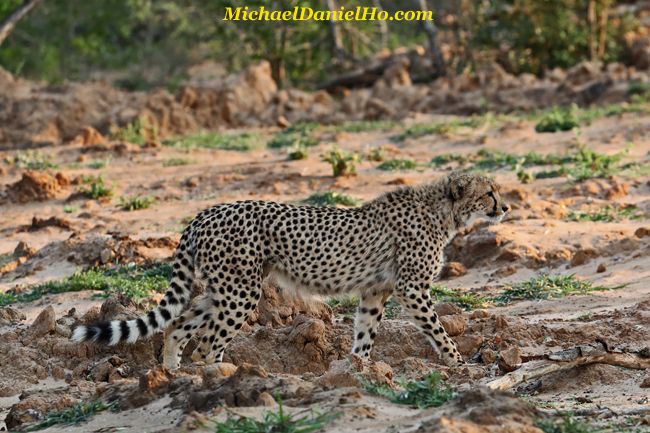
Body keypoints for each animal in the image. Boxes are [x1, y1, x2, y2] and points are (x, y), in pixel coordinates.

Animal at [71, 170, 506, 366]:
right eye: (489, 193)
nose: (505, 207)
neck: (444, 211)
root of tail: (206, 212)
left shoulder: (375, 290)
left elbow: (365, 333)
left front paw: (359, 369)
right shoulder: (411, 289)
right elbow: (437, 330)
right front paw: (458, 363)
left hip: (223, 290)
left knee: (178, 326)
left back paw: (174, 378)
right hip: (240, 293)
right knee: (209, 343)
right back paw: (221, 379)